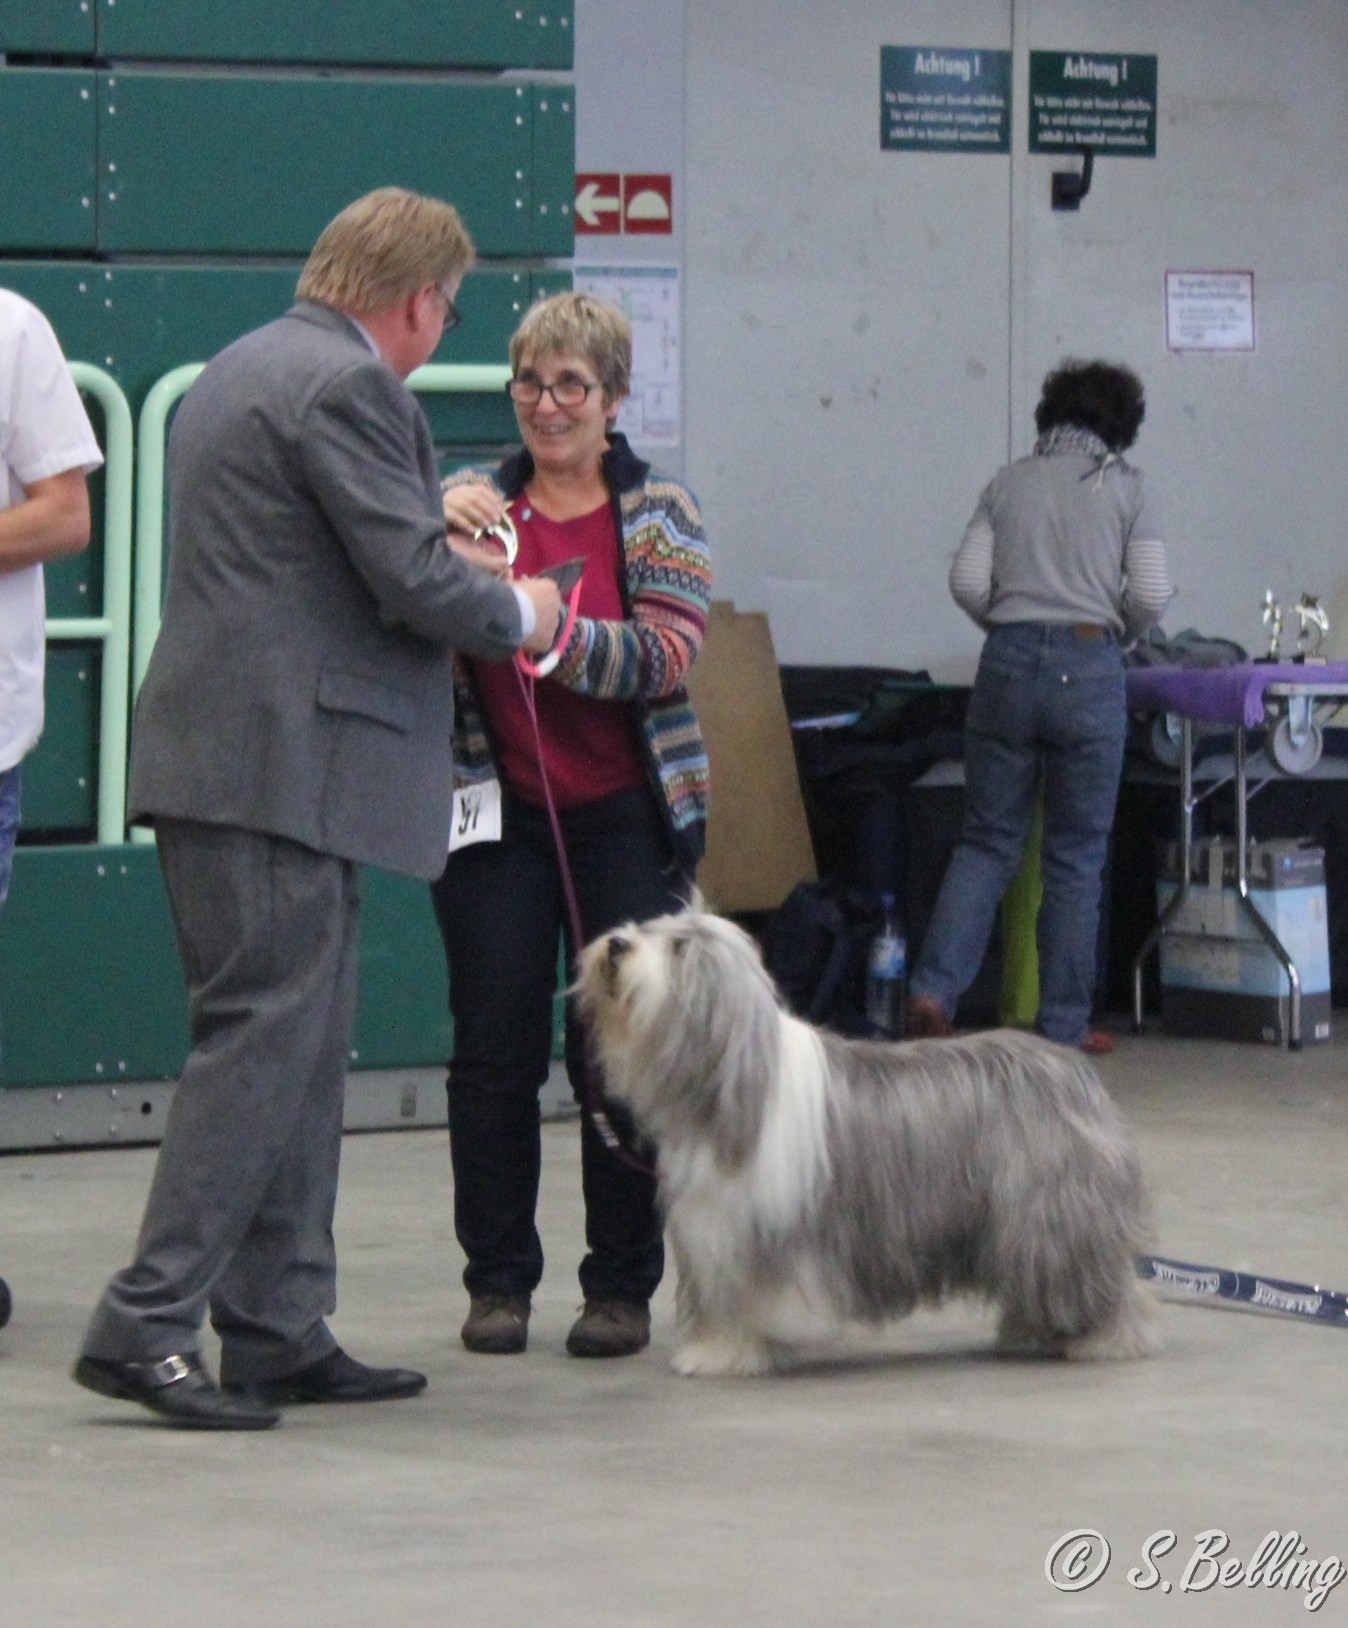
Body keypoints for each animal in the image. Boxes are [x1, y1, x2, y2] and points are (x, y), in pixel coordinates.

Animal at [573, 905, 1152, 1374]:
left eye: (678, 948)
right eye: (651, 928)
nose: (617, 943)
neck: (733, 1089)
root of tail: (1074, 1068)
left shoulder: (760, 1231)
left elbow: (759, 1295)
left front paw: (730, 1353)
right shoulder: (715, 1229)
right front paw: (718, 1349)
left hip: (1052, 1214)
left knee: (1091, 1278)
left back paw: (1101, 1339)